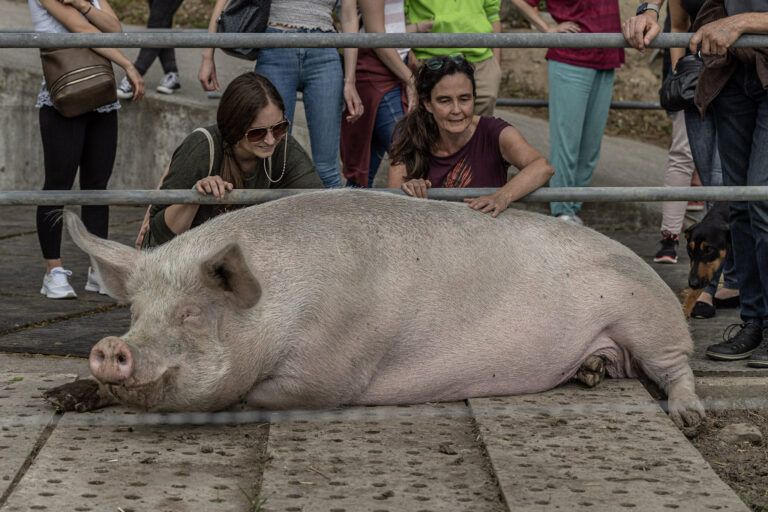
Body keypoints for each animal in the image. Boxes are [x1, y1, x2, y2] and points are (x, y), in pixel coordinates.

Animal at [46, 188, 708, 428]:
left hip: (650, 319)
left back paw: (690, 419)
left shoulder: (329, 369)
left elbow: (251, 395)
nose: (111, 347)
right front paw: (58, 397)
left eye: (189, 313)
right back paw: (591, 373)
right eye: (135, 314)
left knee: (677, 368)